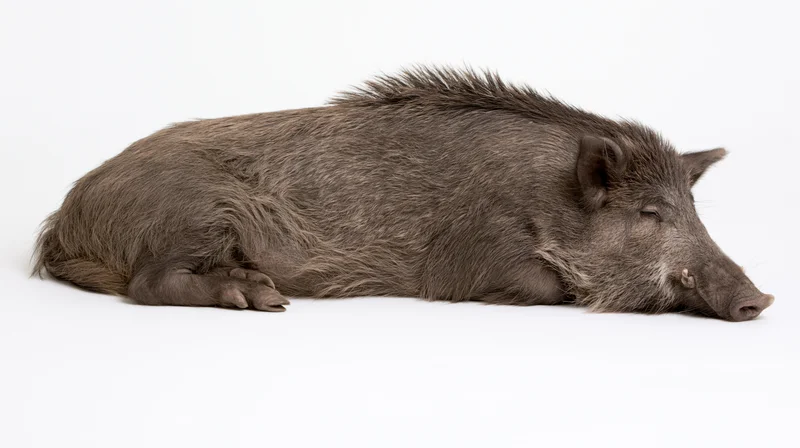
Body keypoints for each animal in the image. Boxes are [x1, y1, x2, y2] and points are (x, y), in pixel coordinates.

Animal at [33, 66, 774, 321]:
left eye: (694, 210)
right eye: (650, 213)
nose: (761, 300)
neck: (547, 199)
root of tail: (65, 219)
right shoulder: (470, 256)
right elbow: (542, 286)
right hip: (194, 212)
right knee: (148, 282)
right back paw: (262, 297)